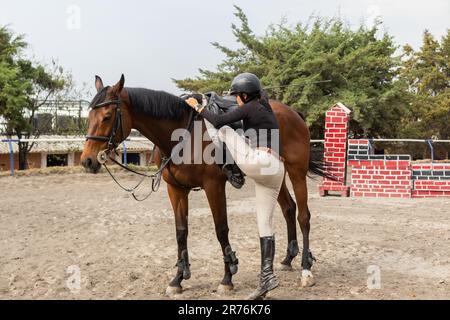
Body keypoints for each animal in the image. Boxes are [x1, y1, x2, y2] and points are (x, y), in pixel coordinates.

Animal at [81, 75, 326, 296]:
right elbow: (181, 232)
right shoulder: (176, 189)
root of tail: (293, 113)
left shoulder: (213, 186)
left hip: (296, 172)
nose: (87, 161)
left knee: (303, 216)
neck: (182, 135)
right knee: (289, 209)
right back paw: (287, 259)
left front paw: (227, 277)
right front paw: (178, 279)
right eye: (89, 116)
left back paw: (306, 269)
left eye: (107, 116)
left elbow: (221, 229)